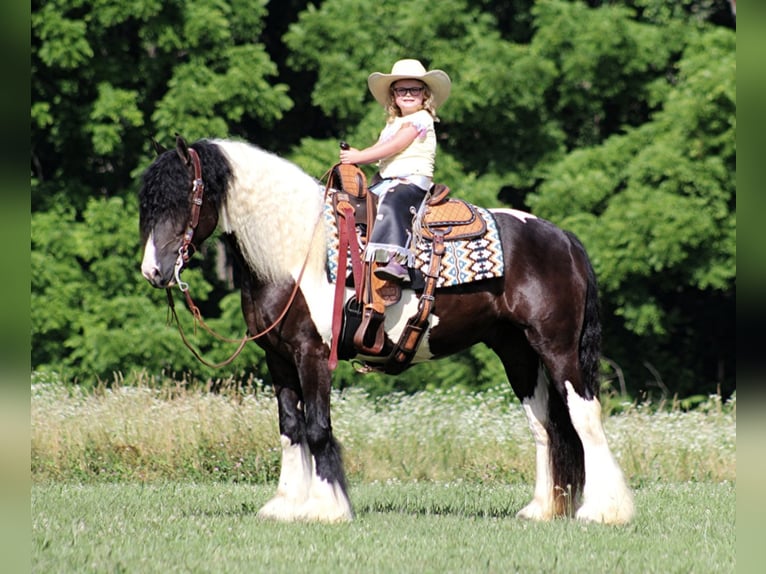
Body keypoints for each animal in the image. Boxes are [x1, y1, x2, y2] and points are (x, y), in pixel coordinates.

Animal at [138, 136, 636, 528]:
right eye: (148, 204)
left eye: (182, 198)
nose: (153, 271)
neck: (295, 250)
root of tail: (563, 238)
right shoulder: (277, 356)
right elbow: (290, 427)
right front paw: (286, 504)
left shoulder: (312, 354)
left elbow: (317, 427)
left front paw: (326, 507)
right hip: (518, 354)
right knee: (545, 426)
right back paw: (541, 509)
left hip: (557, 348)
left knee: (584, 416)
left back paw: (603, 510)